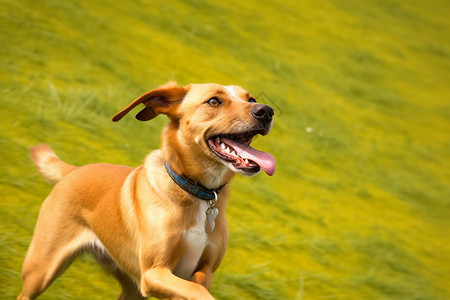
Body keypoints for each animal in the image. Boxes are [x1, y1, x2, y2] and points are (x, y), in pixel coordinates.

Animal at [17, 81, 276, 298]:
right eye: (214, 101)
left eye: (251, 99)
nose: (266, 111)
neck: (197, 192)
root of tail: (73, 170)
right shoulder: (153, 273)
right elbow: (196, 291)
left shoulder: (204, 270)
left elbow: (197, 285)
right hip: (41, 269)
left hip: (131, 289)